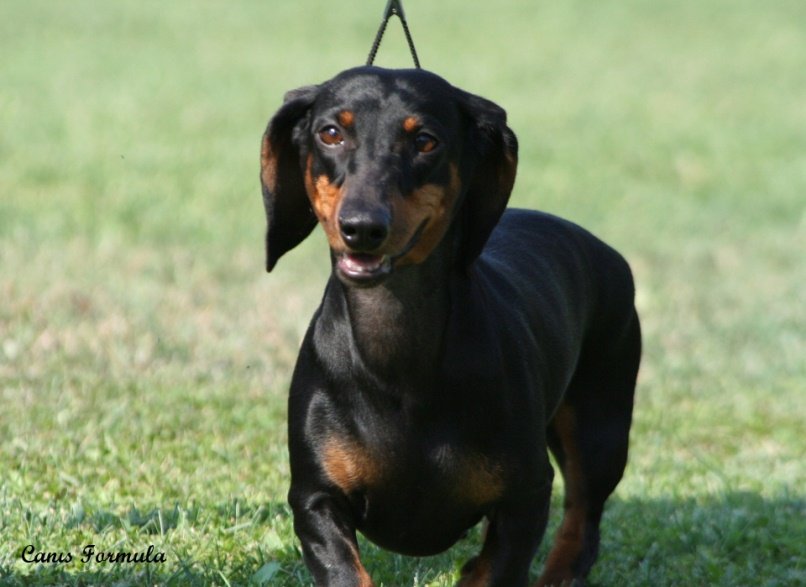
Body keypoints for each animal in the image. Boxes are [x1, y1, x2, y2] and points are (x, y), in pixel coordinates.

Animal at [262, 66, 640, 584]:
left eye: (425, 141)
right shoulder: (315, 498)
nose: (362, 228)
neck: (399, 363)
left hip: (599, 430)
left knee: (583, 521)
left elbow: (499, 566)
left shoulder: (525, 499)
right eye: (331, 133)